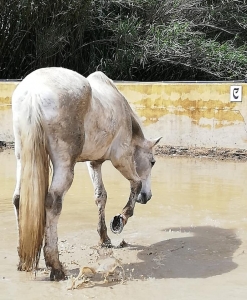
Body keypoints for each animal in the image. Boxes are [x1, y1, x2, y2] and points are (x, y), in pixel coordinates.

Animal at [12, 67, 162, 280]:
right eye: (152, 162)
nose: (147, 197)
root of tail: (34, 92)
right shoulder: (121, 158)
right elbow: (135, 183)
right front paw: (120, 220)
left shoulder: (94, 163)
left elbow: (101, 196)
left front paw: (104, 237)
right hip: (64, 164)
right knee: (53, 202)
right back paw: (56, 266)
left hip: (22, 158)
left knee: (19, 199)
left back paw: (25, 259)